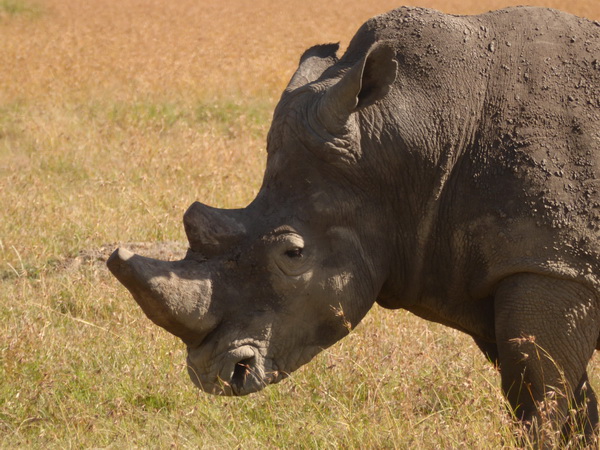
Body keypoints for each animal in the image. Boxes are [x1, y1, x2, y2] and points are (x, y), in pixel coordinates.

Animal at [109, 6, 600, 442]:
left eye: (293, 254)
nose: (212, 375)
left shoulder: (550, 264)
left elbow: (538, 398)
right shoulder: (487, 271)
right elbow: (568, 405)